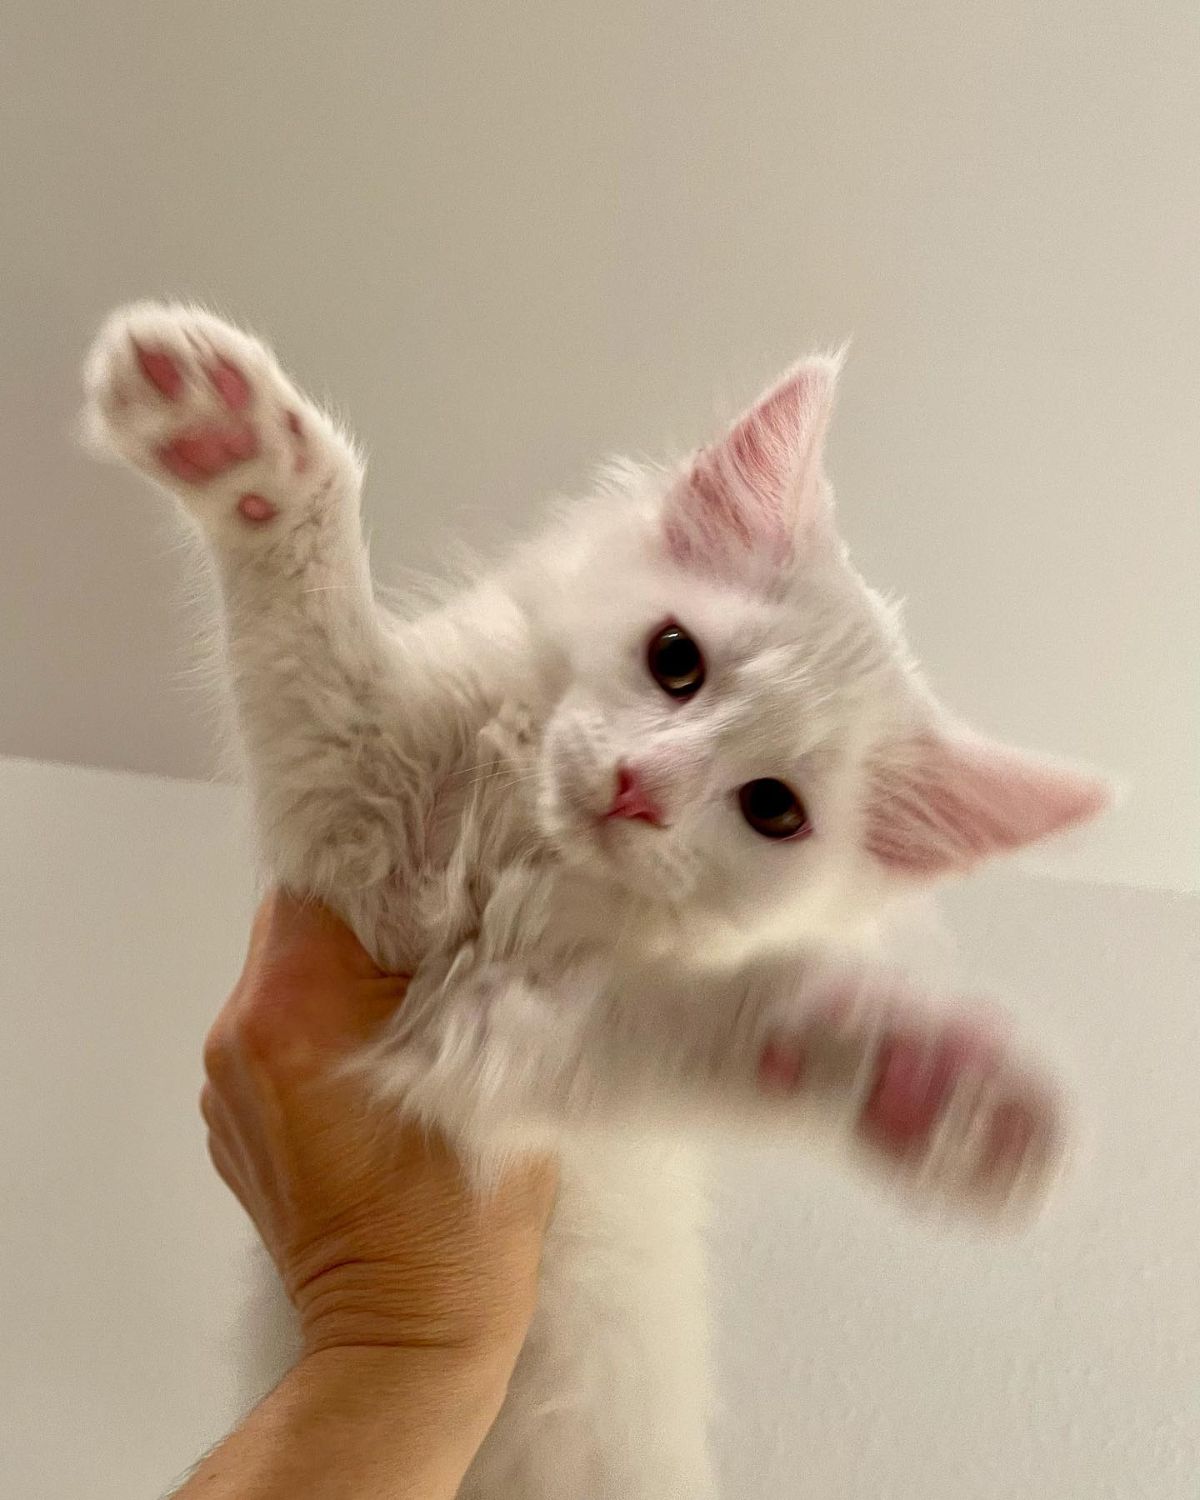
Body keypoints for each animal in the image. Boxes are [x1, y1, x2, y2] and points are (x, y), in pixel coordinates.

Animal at [86, 298, 1116, 1494]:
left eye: (773, 809)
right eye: (676, 660)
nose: (640, 790)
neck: (519, 857)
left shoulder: (526, 1039)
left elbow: (740, 1021)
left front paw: (937, 1089)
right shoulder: (357, 799)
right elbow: (316, 608)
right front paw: (231, 439)